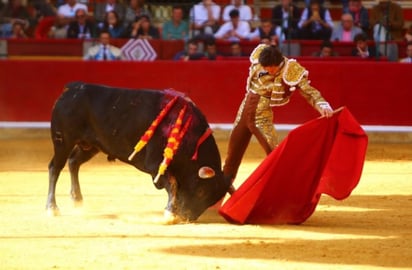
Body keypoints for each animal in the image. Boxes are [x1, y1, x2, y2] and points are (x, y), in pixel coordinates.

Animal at [46, 82, 232, 221]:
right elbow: (172, 183)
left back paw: (77, 200)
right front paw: (169, 213)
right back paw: (52, 208)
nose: (188, 217)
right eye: (201, 192)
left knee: (73, 162)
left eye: (212, 200)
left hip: (91, 145)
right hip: (63, 140)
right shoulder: (155, 164)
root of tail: (72, 88)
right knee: (55, 167)